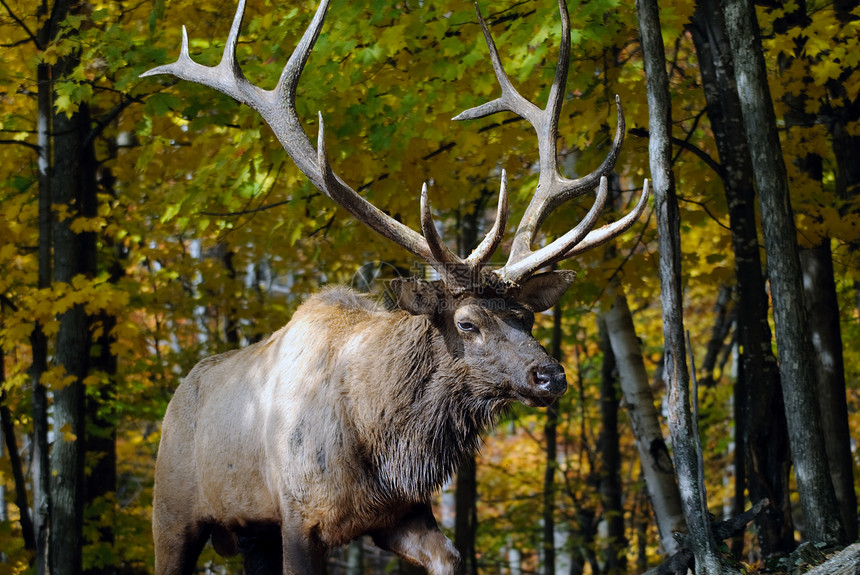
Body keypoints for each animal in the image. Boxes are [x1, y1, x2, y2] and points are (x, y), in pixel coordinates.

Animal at [144, 0, 648, 572]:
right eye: (466, 323)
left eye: (526, 316)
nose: (550, 376)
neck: (379, 442)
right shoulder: (297, 517)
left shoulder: (403, 514)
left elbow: (451, 556)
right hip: (172, 514)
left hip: (252, 533)